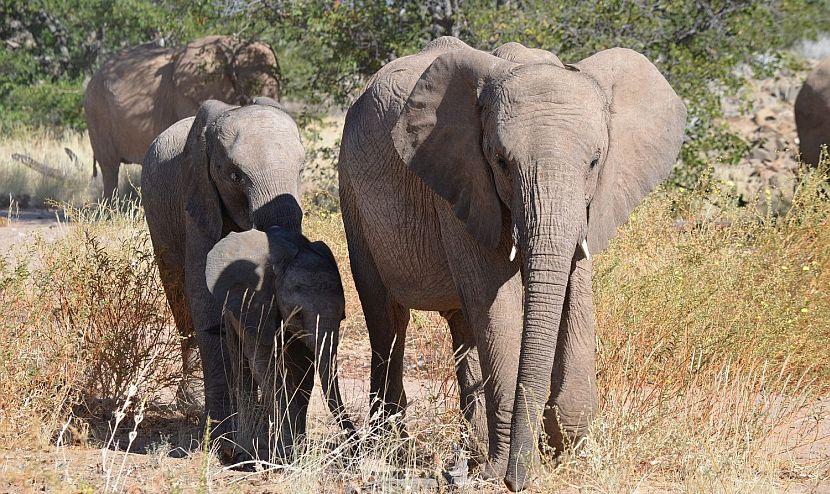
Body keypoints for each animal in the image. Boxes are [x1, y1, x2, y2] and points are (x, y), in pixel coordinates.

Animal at [143, 96, 306, 448]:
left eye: (301, 169)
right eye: (235, 176)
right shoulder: (197, 201)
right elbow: (205, 299)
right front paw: (217, 435)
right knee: (180, 300)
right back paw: (191, 402)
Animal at [206, 226, 356, 462]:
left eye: (342, 316)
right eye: (299, 314)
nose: (356, 449)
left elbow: (302, 369)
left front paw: (297, 451)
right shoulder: (256, 306)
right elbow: (264, 365)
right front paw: (288, 455)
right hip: (232, 311)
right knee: (241, 364)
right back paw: (243, 455)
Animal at [338, 35, 688, 490]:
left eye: (595, 161)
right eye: (502, 162)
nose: (517, 481)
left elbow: (575, 292)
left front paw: (565, 453)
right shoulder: (462, 178)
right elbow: (497, 301)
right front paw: (512, 469)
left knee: (462, 324)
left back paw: (469, 454)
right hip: (352, 194)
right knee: (387, 318)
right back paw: (392, 450)